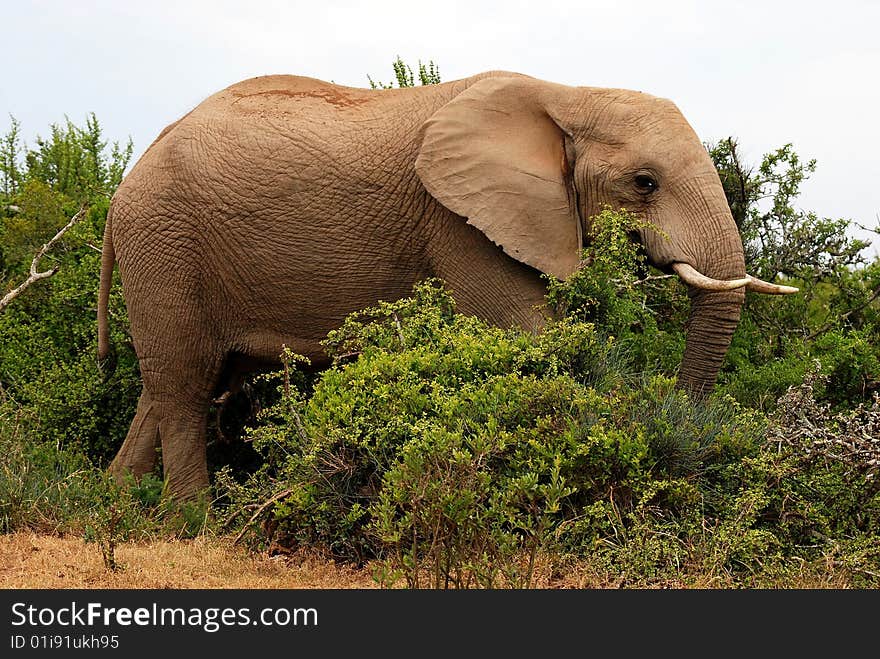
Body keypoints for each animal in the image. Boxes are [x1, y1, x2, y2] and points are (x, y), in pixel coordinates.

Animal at [98, 69, 796, 500]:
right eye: (644, 182)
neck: (567, 94)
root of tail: (123, 184)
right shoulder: (456, 222)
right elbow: (535, 337)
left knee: (176, 384)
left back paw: (116, 502)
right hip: (164, 243)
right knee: (184, 388)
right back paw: (191, 522)